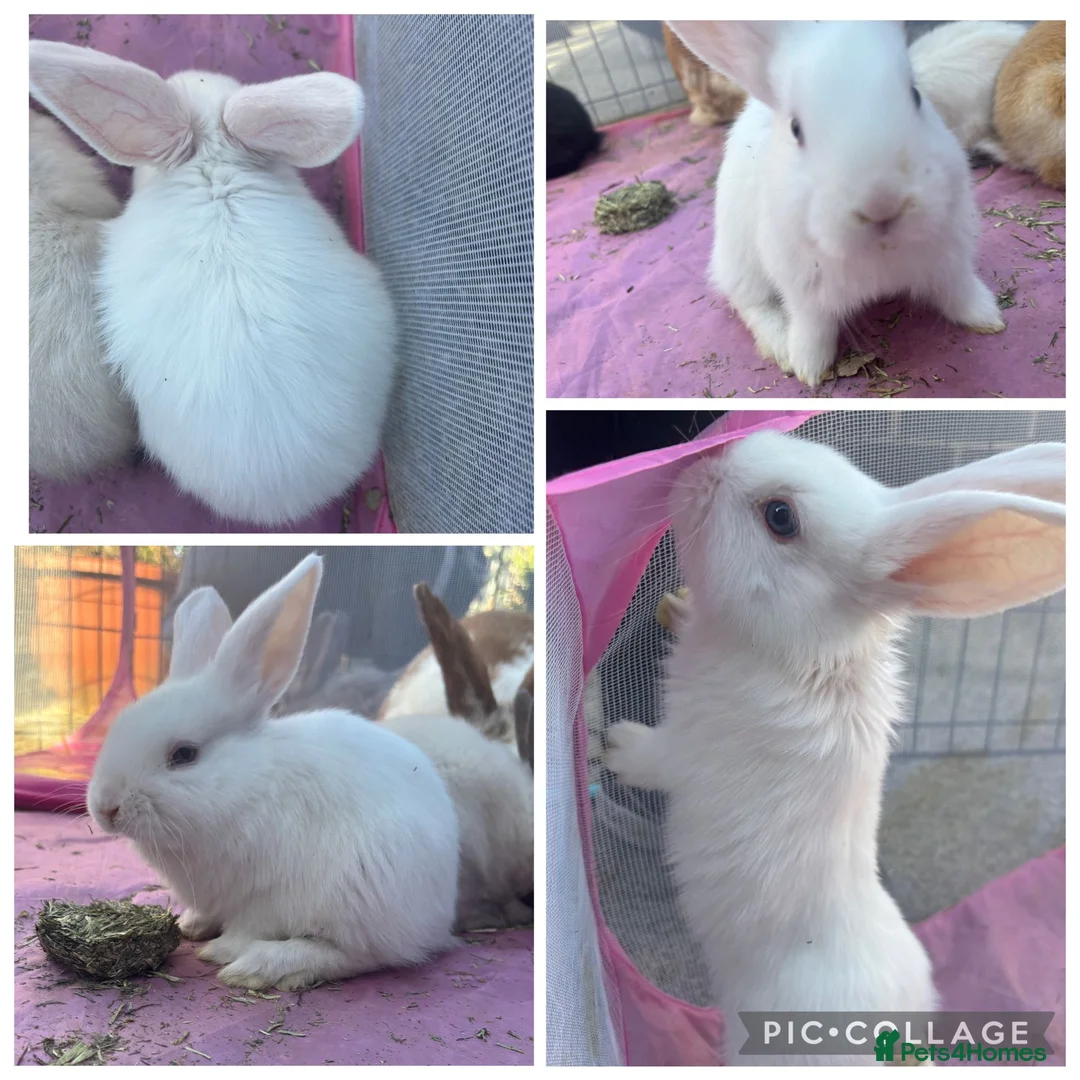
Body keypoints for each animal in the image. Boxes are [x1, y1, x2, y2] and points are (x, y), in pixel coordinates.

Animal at [86, 554, 460, 991]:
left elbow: (249, 927)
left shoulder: (267, 895)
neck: (247, 783)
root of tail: (440, 916)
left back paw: (261, 965)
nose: (105, 808)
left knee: (354, 955)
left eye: (184, 754)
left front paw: (220, 951)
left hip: (362, 897)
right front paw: (191, 925)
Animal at [605, 431, 1065, 1066]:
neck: (802, 656)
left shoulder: (688, 746)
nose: (704, 465)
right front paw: (675, 606)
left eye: (781, 518)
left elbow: (652, 760)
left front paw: (611, 743)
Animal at [665, 21, 1005, 387]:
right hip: (740, 264)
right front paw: (809, 370)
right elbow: (814, 330)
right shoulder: (805, 296)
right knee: (751, 304)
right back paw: (781, 346)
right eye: (796, 129)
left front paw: (988, 319)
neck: (881, 251)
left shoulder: (950, 264)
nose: (882, 203)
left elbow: (960, 294)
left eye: (916, 96)